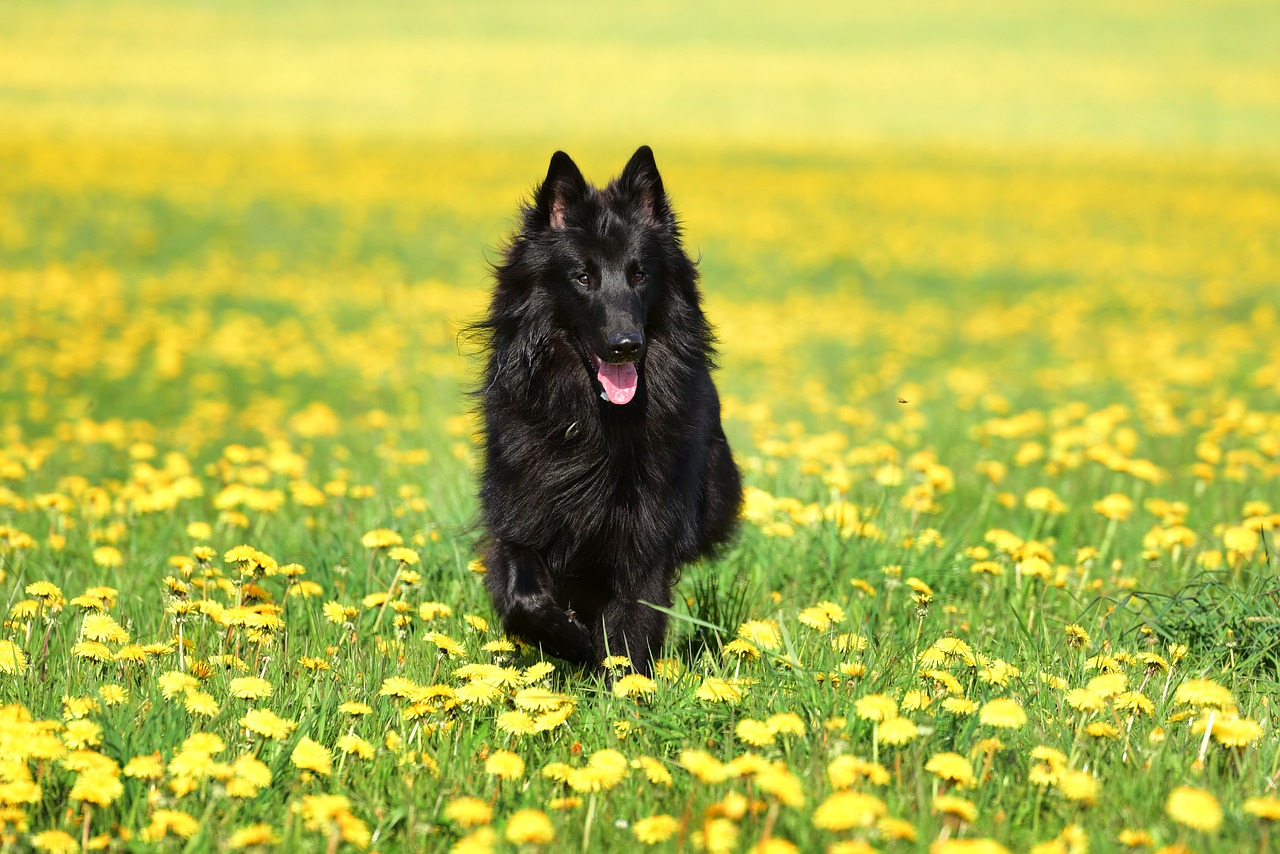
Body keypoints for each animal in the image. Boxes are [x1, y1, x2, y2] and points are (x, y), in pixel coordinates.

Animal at [478, 150, 742, 676]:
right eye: (583, 277)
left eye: (639, 274)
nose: (625, 346)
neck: (595, 423)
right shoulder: (521, 517)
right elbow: (523, 595)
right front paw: (569, 643)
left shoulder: (644, 539)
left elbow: (629, 629)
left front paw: (620, 684)